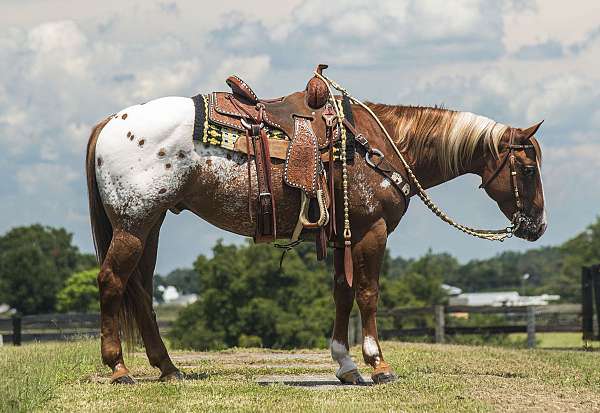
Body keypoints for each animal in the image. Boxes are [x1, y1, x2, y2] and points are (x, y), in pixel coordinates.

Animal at [85, 83, 548, 384]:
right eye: (527, 168)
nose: (538, 225)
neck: (380, 146)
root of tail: (111, 123)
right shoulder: (372, 231)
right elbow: (367, 293)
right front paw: (378, 364)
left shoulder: (345, 234)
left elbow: (343, 293)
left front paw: (346, 366)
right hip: (134, 223)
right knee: (112, 281)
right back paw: (119, 369)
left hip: (150, 224)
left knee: (140, 290)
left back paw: (168, 368)